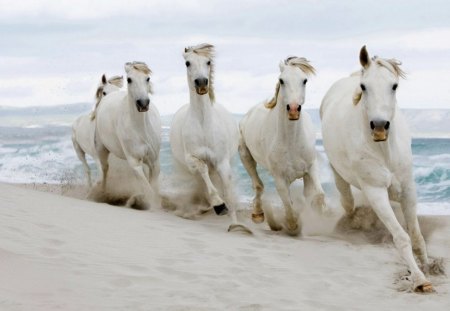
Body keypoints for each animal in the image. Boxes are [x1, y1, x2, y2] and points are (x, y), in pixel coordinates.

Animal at [94, 62, 161, 210]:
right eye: (129, 80)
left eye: (147, 78)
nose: (143, 103)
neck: (141, 129)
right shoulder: (134, 162)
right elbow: (149, 190)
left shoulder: (154, 163)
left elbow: (152, 187)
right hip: (101, 150)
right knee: (105, 169)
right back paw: (102, 194)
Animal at [171, 43, 250, 234]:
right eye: (188, 63)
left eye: (208, 62)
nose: (201, 82)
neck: (203, 124)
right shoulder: (192, 159)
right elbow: (203, 170)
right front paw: (219, 205)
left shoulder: (222, 162)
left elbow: (227, 191)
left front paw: (236, 225)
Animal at [241, 57, 326, 235]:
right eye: (282, 80)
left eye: (304, 80)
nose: (293, 110)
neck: (292, 141)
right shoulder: (280, 177)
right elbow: (288, 204)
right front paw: (291, 225)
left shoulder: (311, 168)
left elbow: (318, 195)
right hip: (245, 156)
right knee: (258, 185)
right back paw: (258, 214)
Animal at [320, 45, 432, 292]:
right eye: (364, 87)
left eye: (394, 86)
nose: (379, 127)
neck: (385, 151)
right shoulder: (375, 192)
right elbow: (402, 237)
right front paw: (420, 280)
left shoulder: (408, 190)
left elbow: (416, 236)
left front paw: (430, 269)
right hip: (340, 176)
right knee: (347, 202)